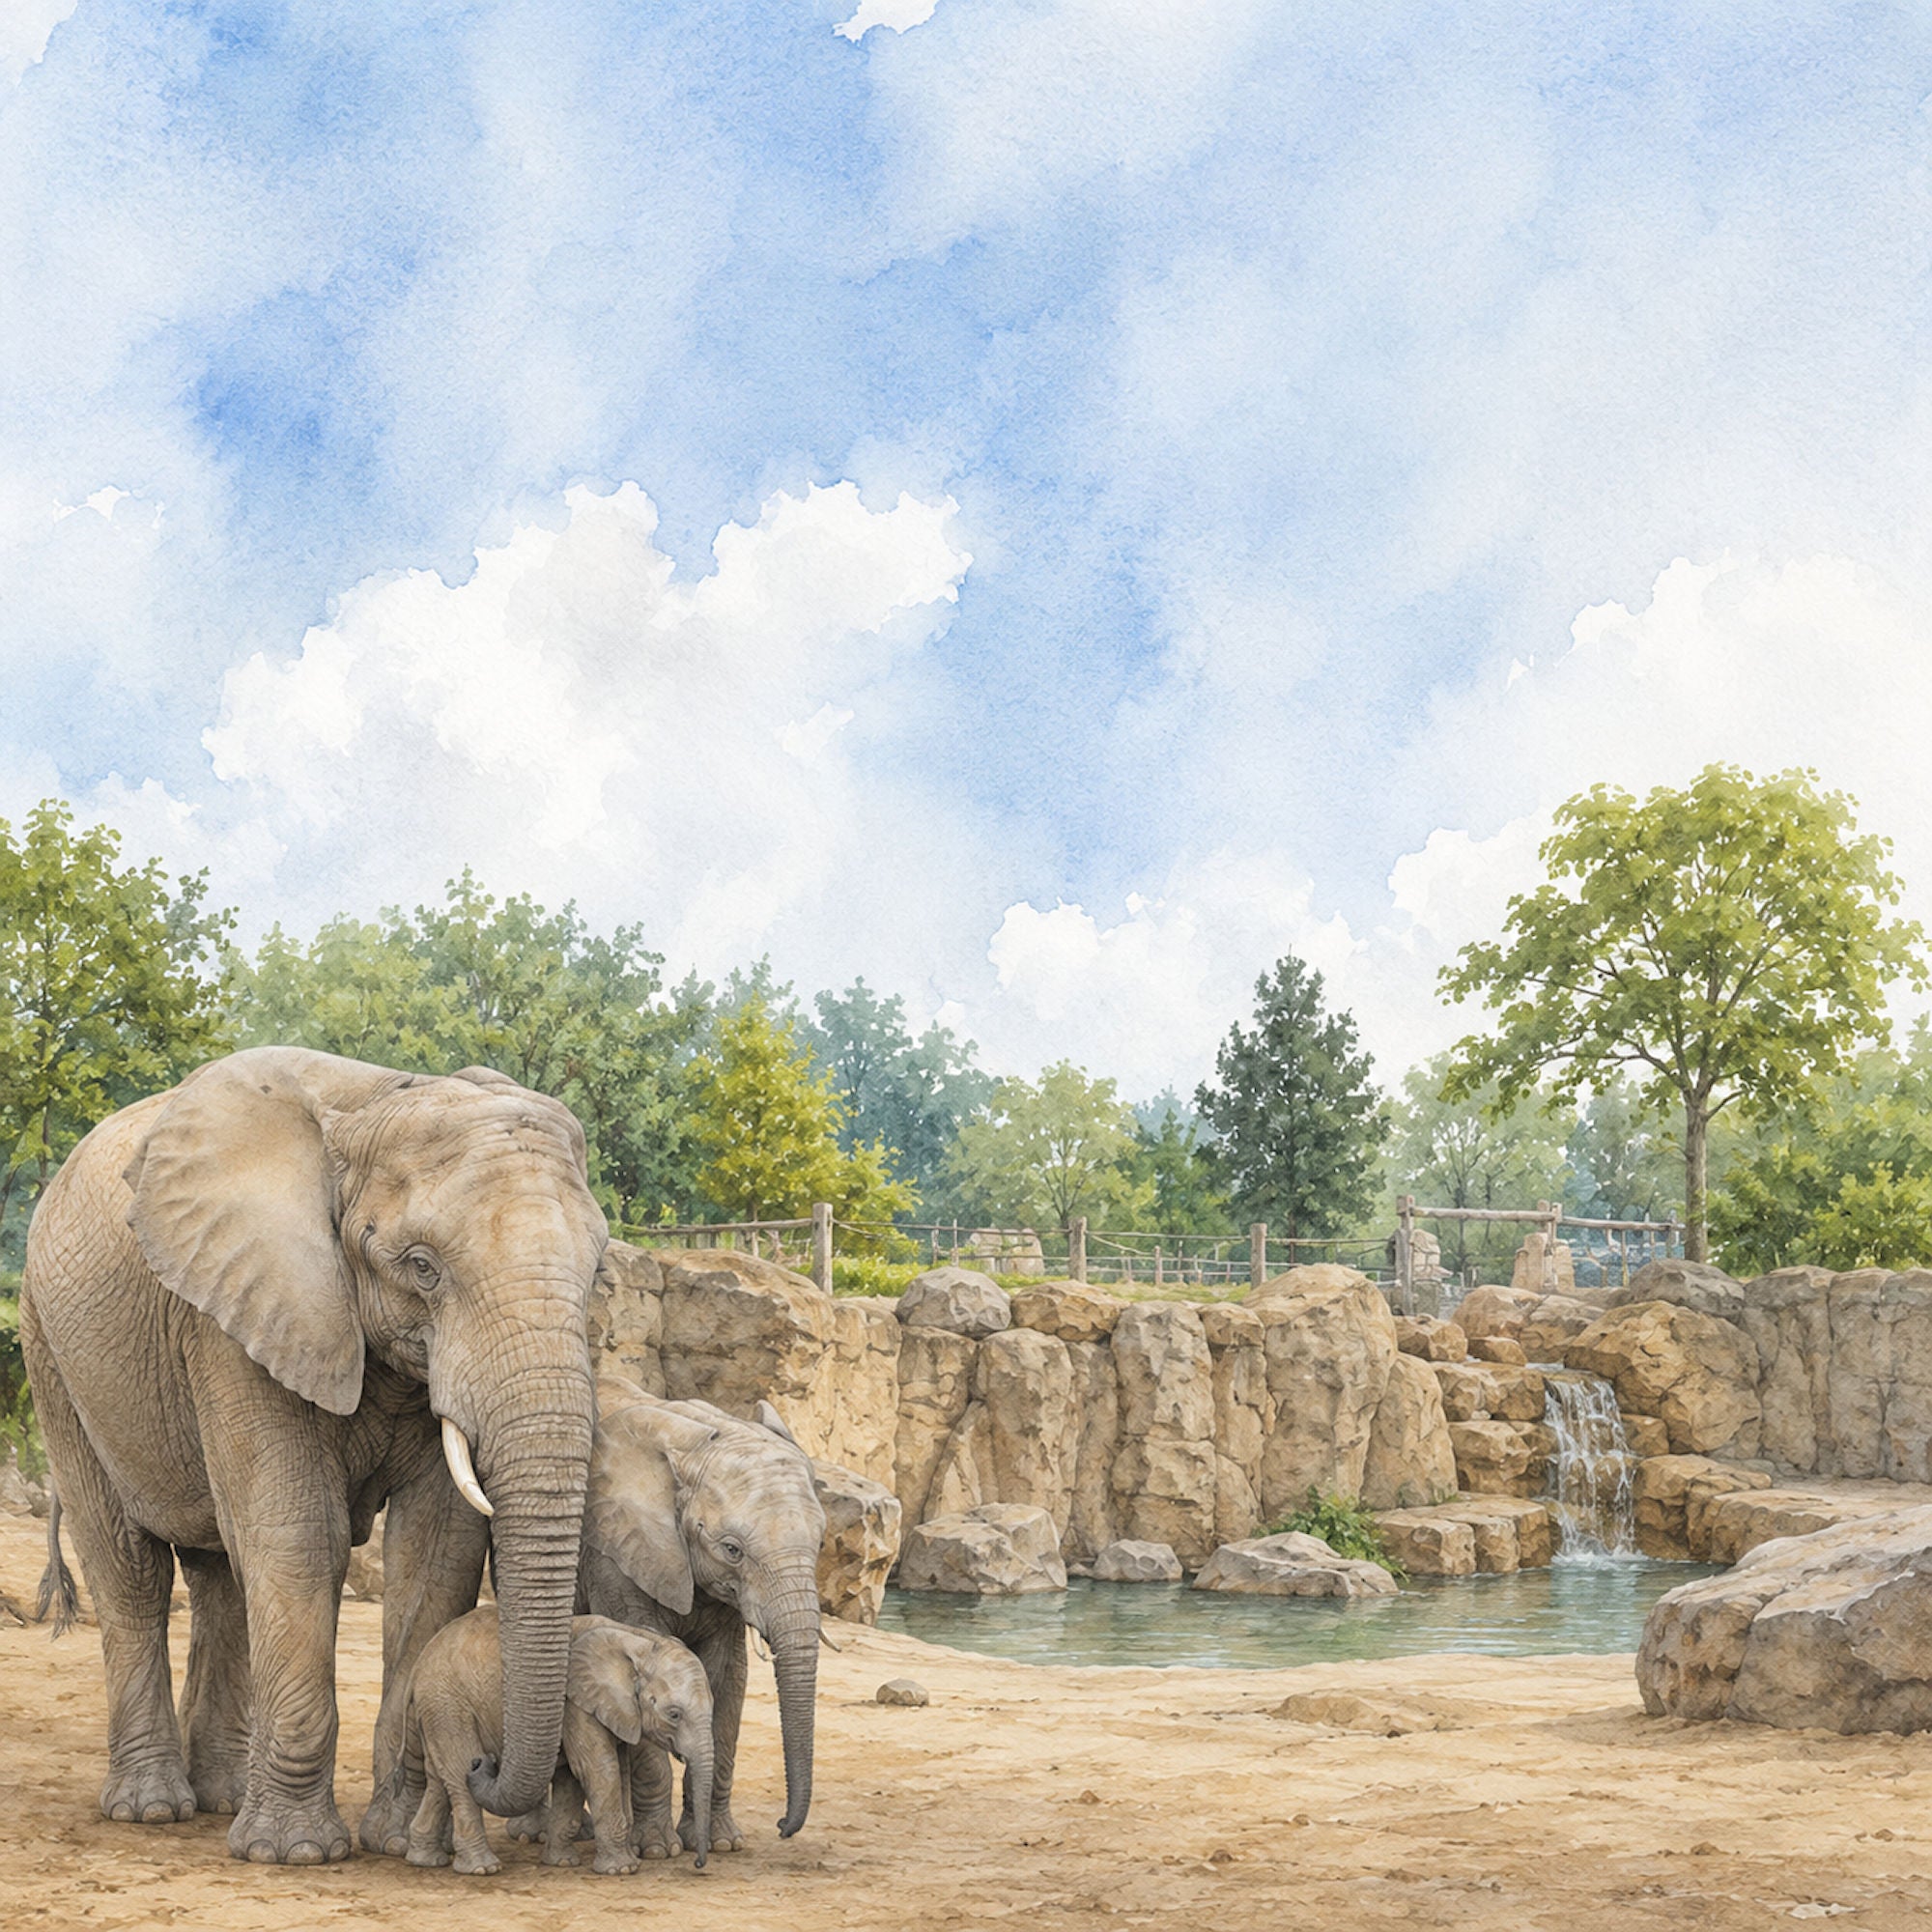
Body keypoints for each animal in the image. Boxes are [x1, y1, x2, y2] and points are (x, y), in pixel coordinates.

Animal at [18, 1045, 608, 1864]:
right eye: (421, 1266)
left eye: (597, 1273)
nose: (484, 1768)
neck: (378, 1099)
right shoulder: (234, 1313)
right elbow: (299, 1539)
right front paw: (292, 1854)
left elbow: (435, 1551)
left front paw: (394, 1841)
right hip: (51, 1352)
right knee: (131, 1569)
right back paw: (152, 1808)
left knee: (221, 1575)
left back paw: (223, 1796)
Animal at [392, 1609, 714, 1877]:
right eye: (674, 1714)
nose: (699, 1864)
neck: (638, 1640)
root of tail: (418, 1667)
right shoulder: (575, 1703)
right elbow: (599, 1769)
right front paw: (621, 1870)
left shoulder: (613, 1710)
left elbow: (583, 1775)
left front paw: (562, 1863)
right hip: (447, 1704)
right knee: (458, 1773)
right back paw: (483, 1868)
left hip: (436, 1710)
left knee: (440, 1779)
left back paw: (424, 1859)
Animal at [567, 1374, 827, 1855]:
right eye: (732, 1550)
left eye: (820, 1542)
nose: (783, 1825)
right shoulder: (613, 1555)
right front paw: (657, 1849)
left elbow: (726, 1678)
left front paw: (722, 1843)